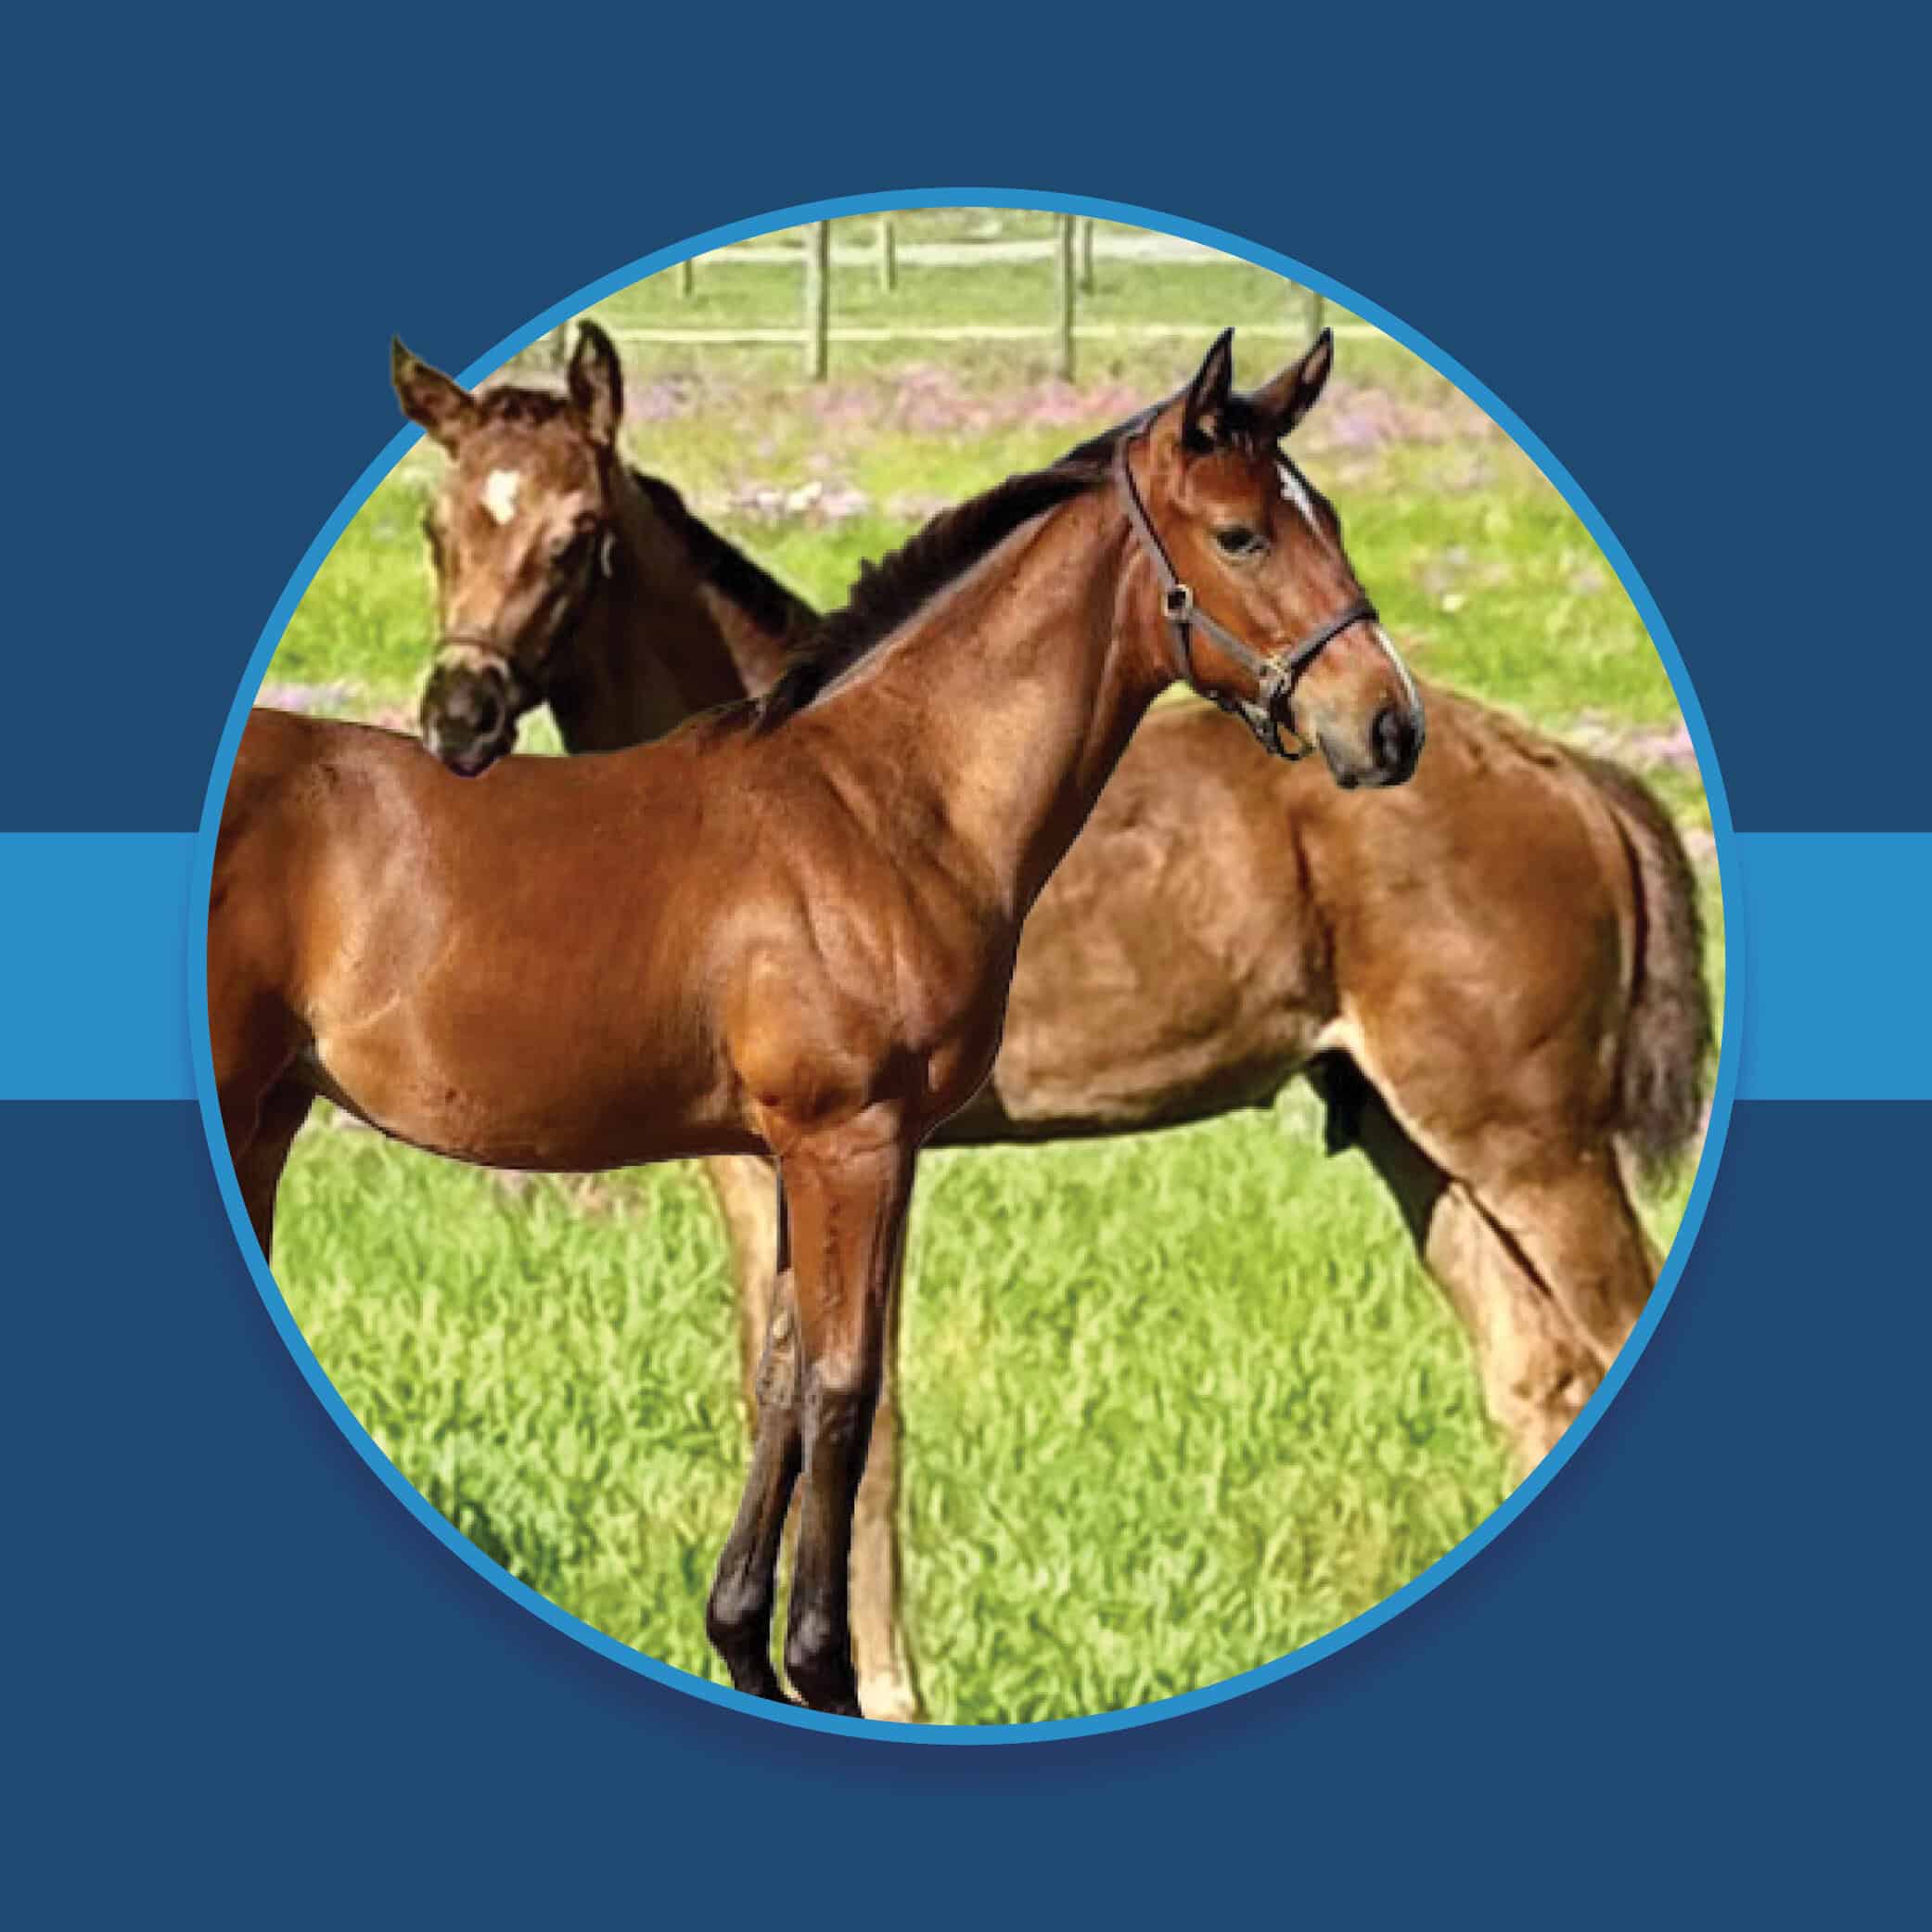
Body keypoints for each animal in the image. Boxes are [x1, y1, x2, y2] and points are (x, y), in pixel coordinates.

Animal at [390, 324, 1710, 1720]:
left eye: (578, 532)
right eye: (437, 522)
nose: (459, 714)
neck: (852, 786)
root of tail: (1568, 773)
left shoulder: (836, 1155)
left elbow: (844, 1402)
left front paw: (878, 1682)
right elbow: (796, 1387)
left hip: (1533, 1143)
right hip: (1426, 1147)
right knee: (1535, 1372)